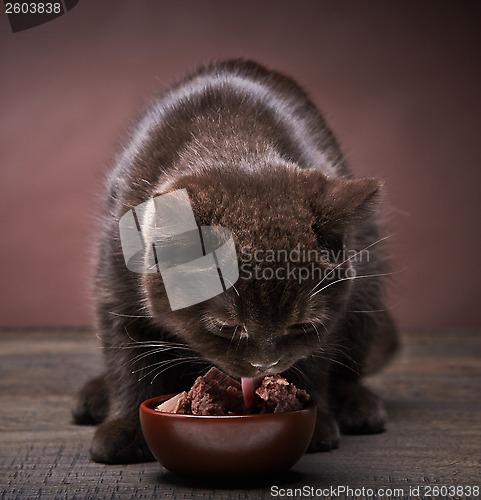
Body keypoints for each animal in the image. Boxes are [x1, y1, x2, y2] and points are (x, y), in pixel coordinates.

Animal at [72, 59, 398, 464]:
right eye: (228, 327)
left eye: (302, 325)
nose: (265, 364)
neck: (231, 141)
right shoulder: (115, 286)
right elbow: (129, 359)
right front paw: (125, 428)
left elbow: (315, 359)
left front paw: (315, 422)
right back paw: (93, 394)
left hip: (368, 283)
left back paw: (358, 404)